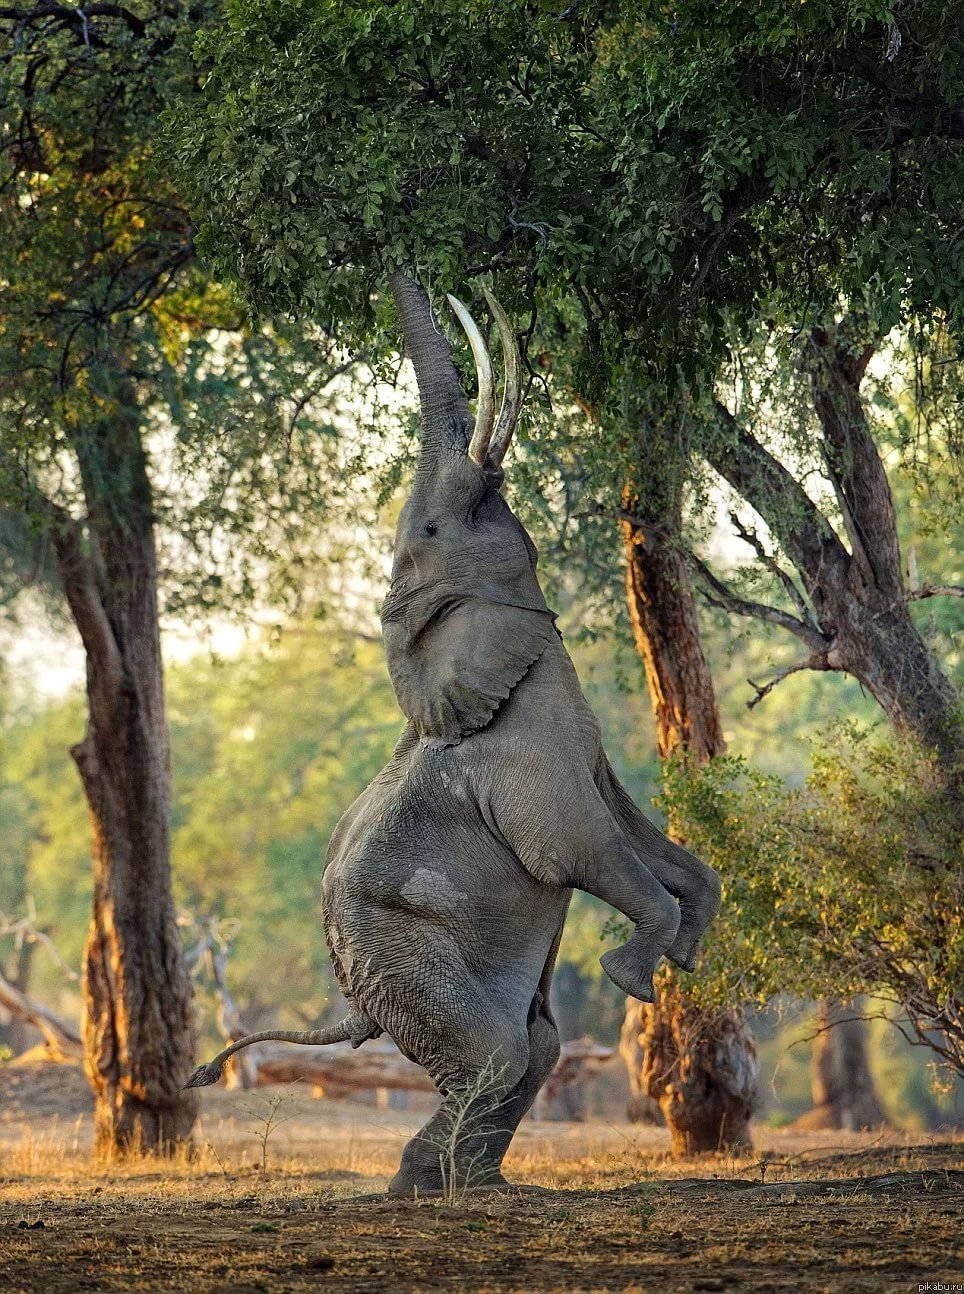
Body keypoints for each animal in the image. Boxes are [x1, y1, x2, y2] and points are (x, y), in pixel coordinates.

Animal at [185, 273, 721, 1195]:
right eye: (434, 531)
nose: (420, 266)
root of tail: (354, 999)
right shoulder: (522, 752)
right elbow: (577, 847)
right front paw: (634, 979)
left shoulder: (579, 745)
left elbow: (646, 838)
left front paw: (685, 952)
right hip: (398, 948)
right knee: (500, 1050)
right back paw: (420, 1190)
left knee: (533, 1047)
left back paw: (477, 1188)